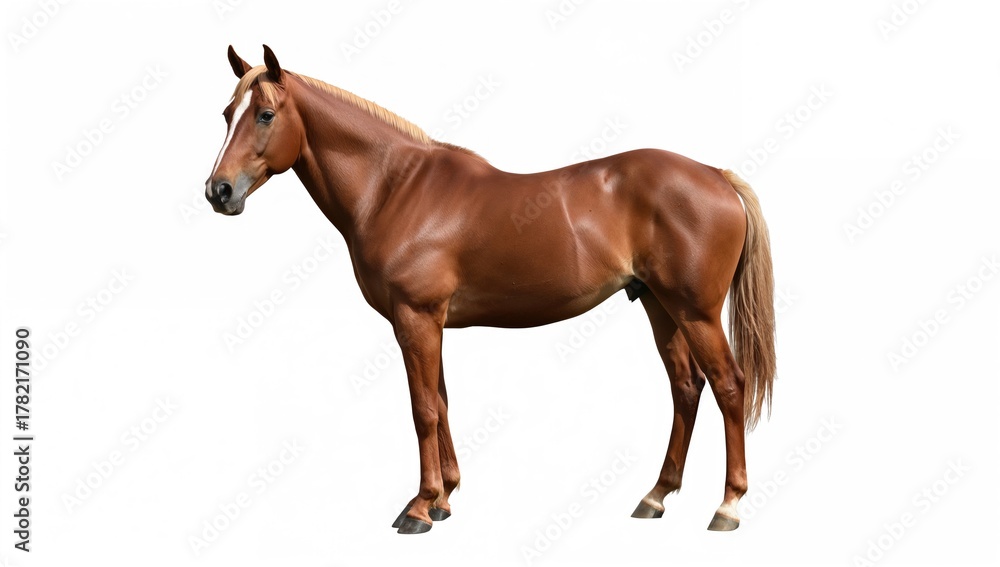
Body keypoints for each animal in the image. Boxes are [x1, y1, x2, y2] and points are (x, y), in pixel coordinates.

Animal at [205, 45, 776, 535]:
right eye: (227, 113)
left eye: (265, 115)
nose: (218, 191)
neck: (396, 189)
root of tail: (715, 176)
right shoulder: (428, 322)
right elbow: (441, 400)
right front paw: (444, 498)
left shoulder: (416, 318)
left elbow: (422, 409)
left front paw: (419, 507)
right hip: (659, 306)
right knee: (686, 387)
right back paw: (655, 497)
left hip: (696, 311)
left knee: (728, 385)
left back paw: (727, 506)